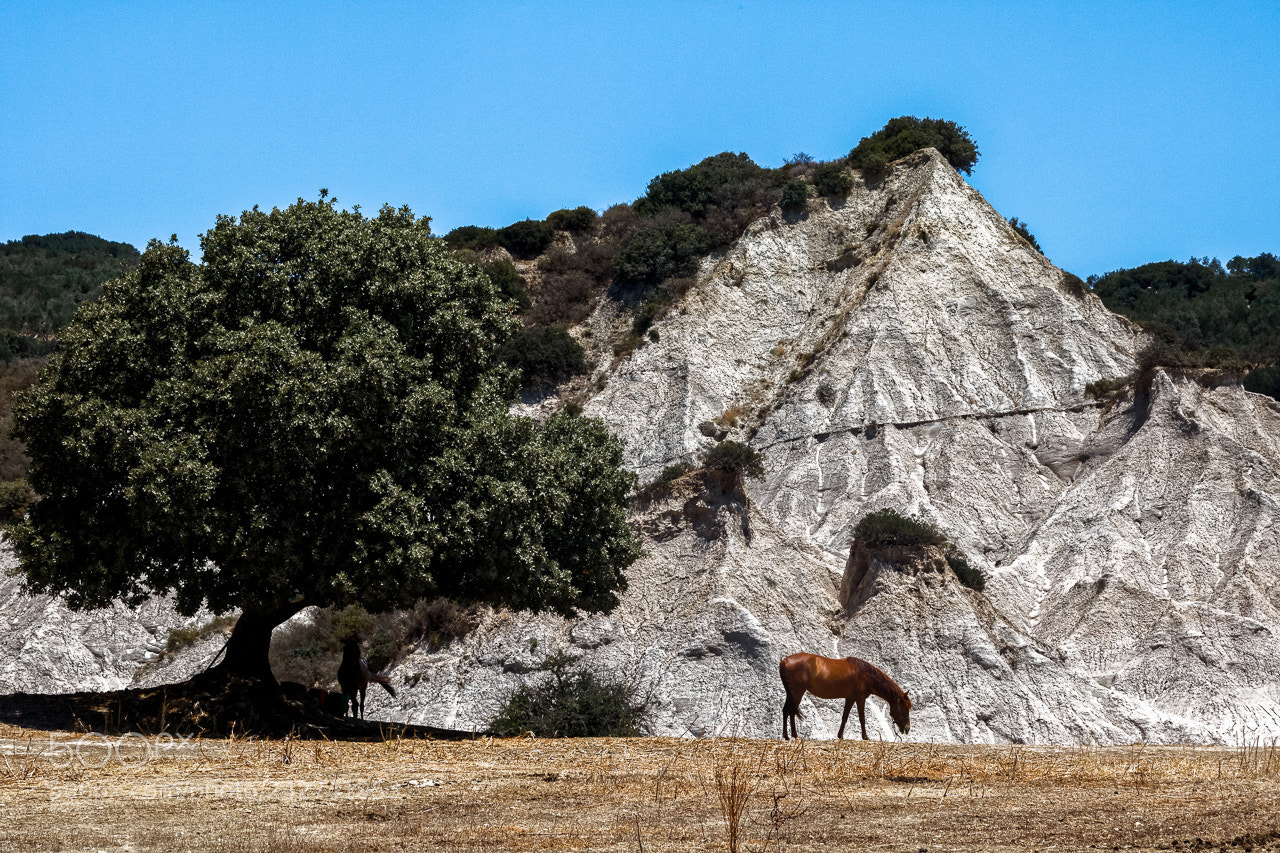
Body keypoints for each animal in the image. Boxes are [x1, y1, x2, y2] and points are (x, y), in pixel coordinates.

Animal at [779, 652, 911, 741]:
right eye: (905, 707)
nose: (907, 728)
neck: (865, 675)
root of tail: (785, 660)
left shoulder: (850, 698)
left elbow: (844, 717)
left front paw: (840, 736)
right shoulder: (860, 698)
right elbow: (862, 718)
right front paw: (865, 737)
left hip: (791, 694)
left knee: (786, 710)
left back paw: (786, 736)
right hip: (797, 692)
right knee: (791, 711)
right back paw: (795, 736)